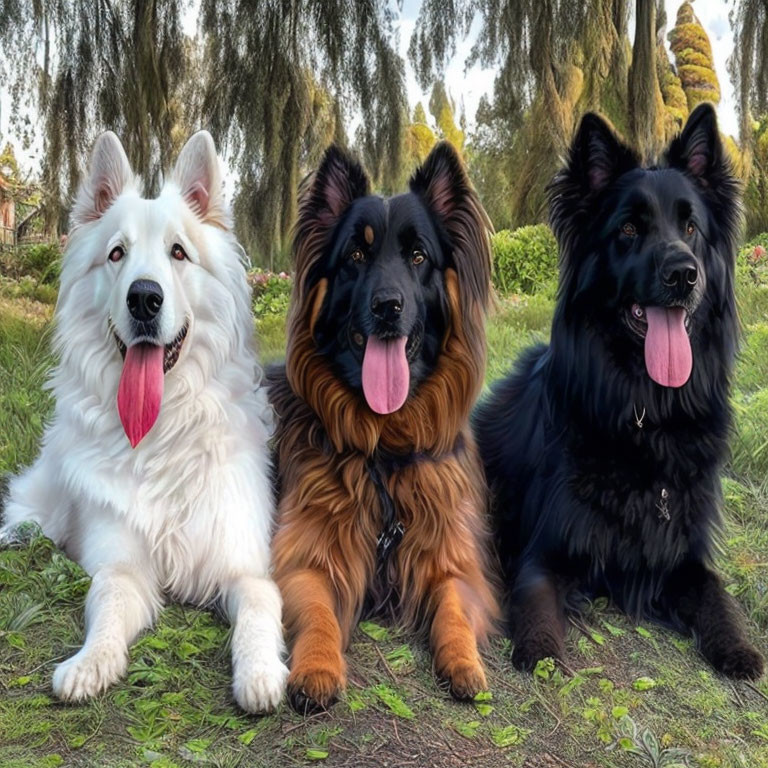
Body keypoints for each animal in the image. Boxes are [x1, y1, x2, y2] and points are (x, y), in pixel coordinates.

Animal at [1, 129, 290, 712]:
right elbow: (107, 599)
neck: (163, 433)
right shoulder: (124, 568)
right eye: (117, 253)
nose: (144, 297)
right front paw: (89, 663)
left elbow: (258, 609)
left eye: (178, 252)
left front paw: (260, 672)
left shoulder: (244, 568)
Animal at [476, 103, 764, 680]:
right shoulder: (546, 551)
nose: (683, 274)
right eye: (629, 229)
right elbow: (535, 602)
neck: (647, 415)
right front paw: (541, 651)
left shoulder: (684, 554)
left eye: (691, 227)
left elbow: (717, 595)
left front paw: (739, 649)